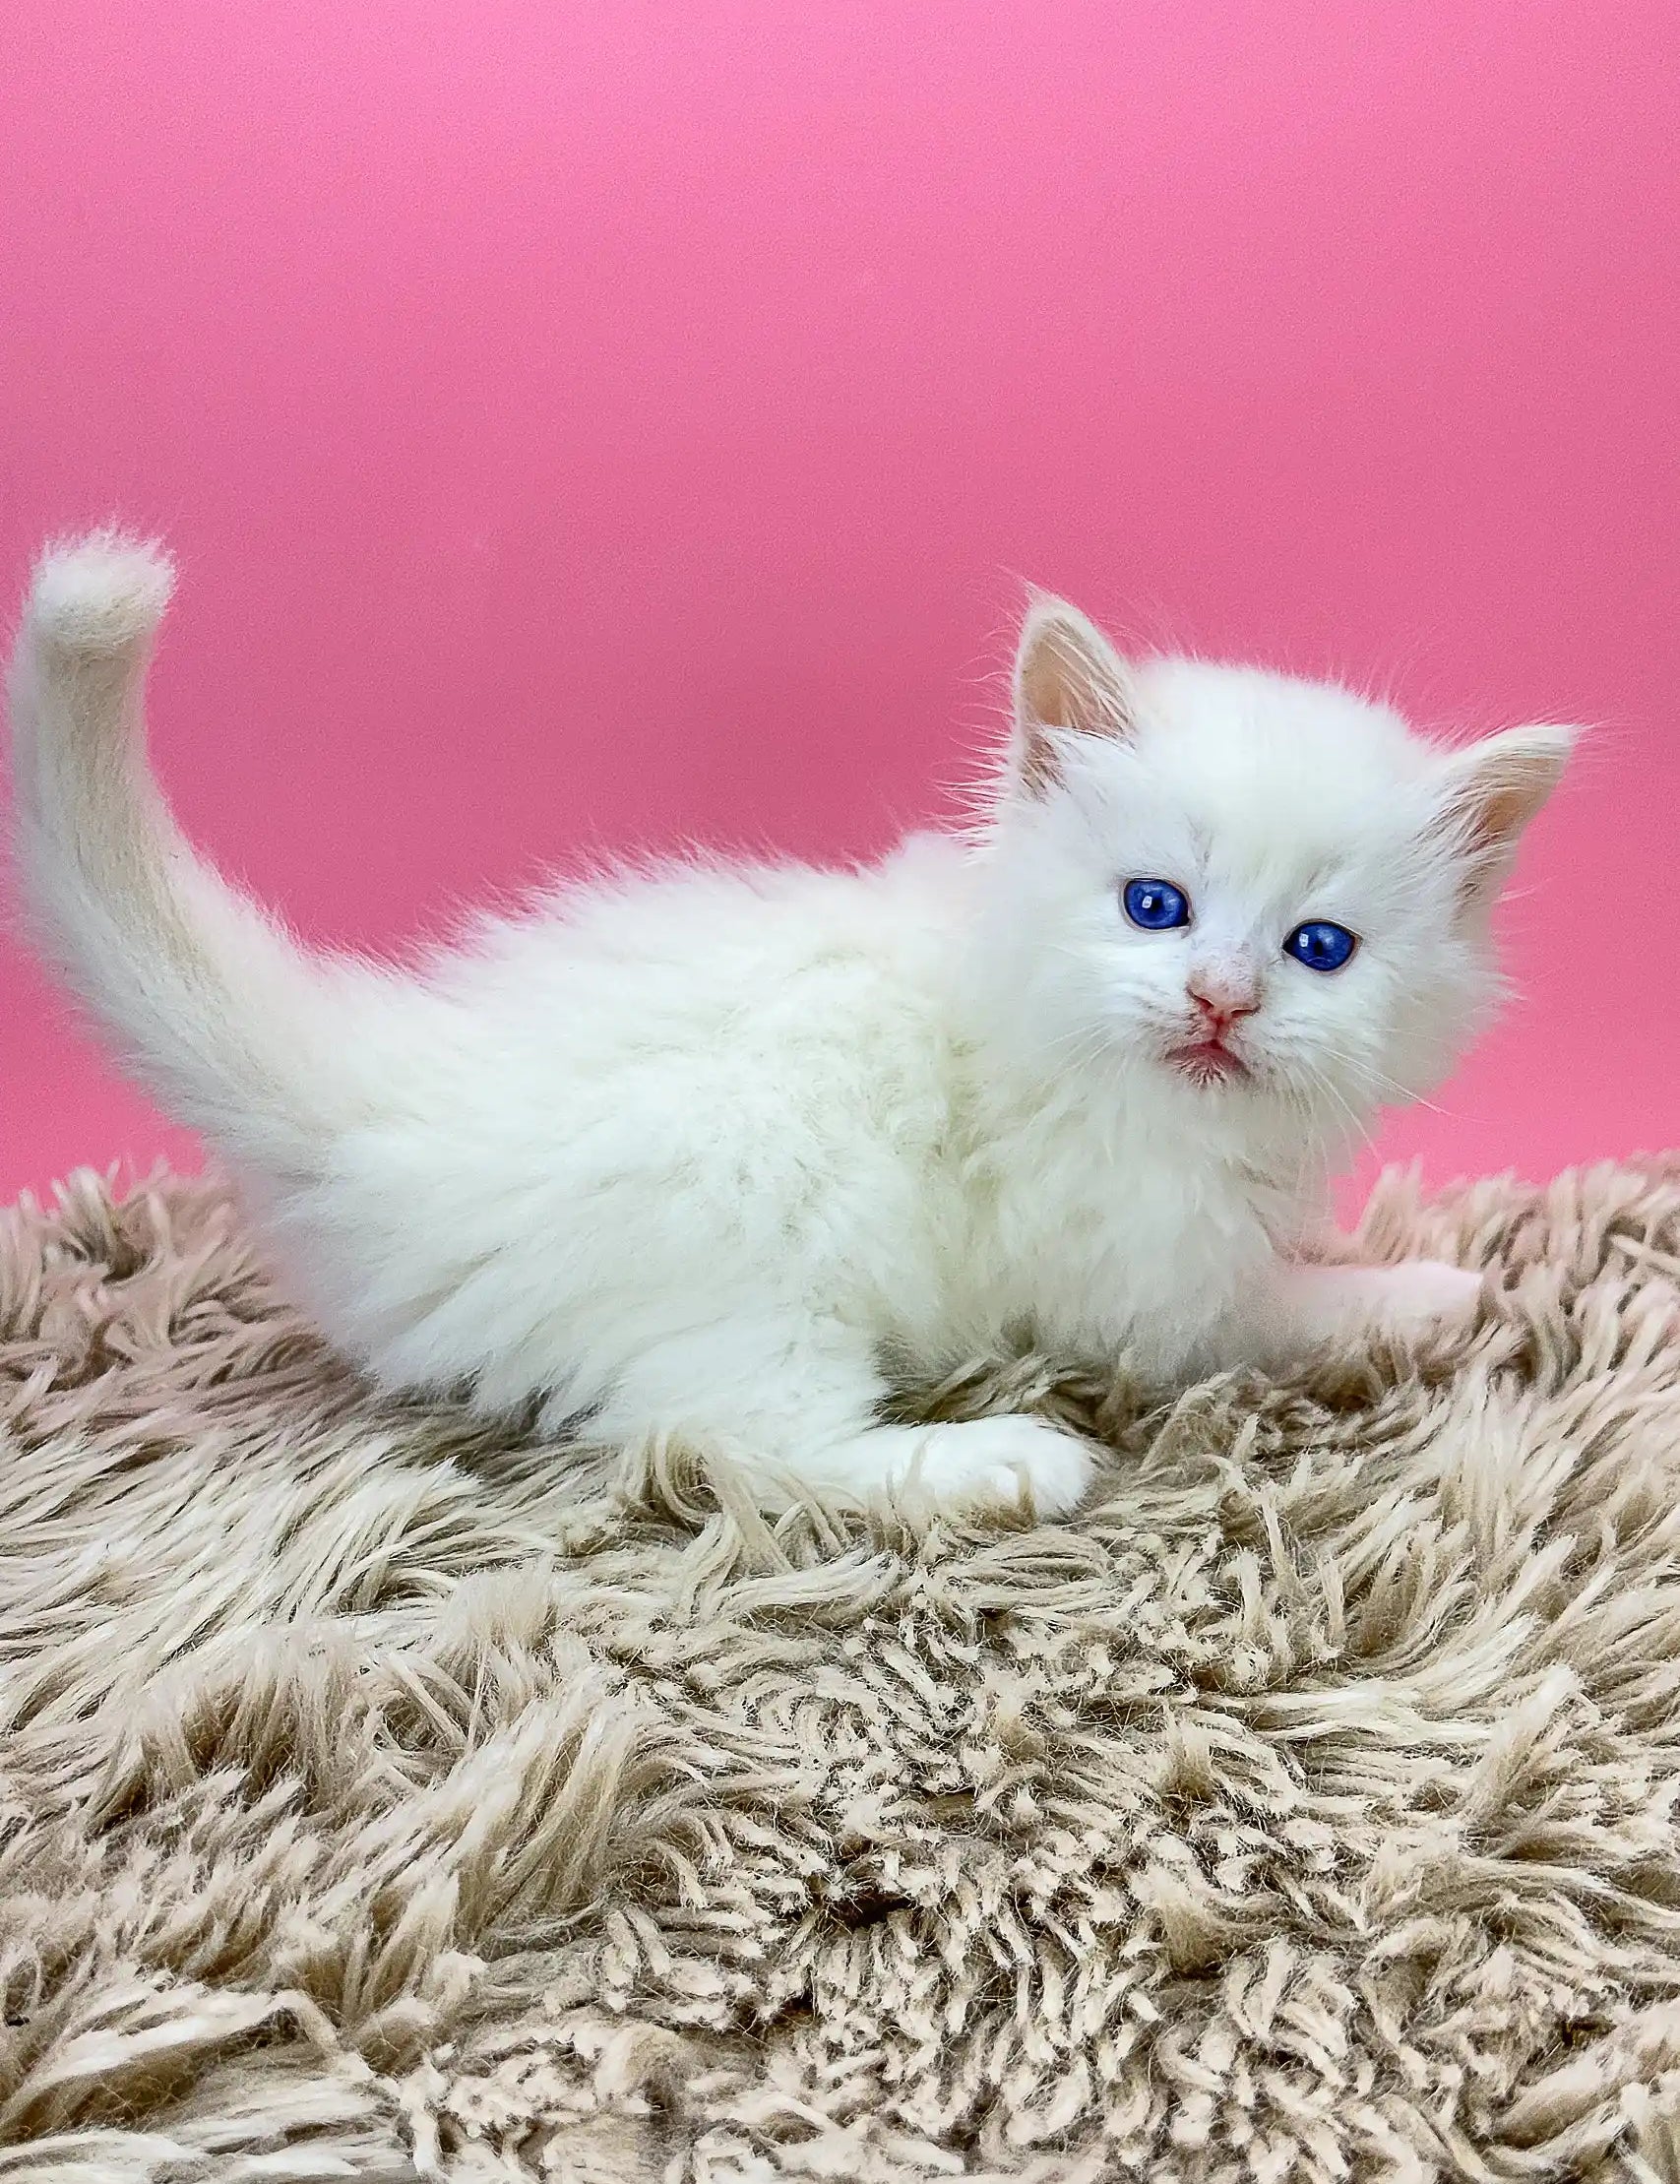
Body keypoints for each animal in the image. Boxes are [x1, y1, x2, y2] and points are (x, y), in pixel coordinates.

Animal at [9, 534, 1573, 1511]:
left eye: (1319, 949)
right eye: (1154, 905)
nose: (1218, 996)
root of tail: (392, 1092)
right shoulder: (1131, 1275)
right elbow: (1263, 1309)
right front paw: (1417, 1295)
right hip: (756, 1240)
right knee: (725, 1445)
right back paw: (995, 1464)